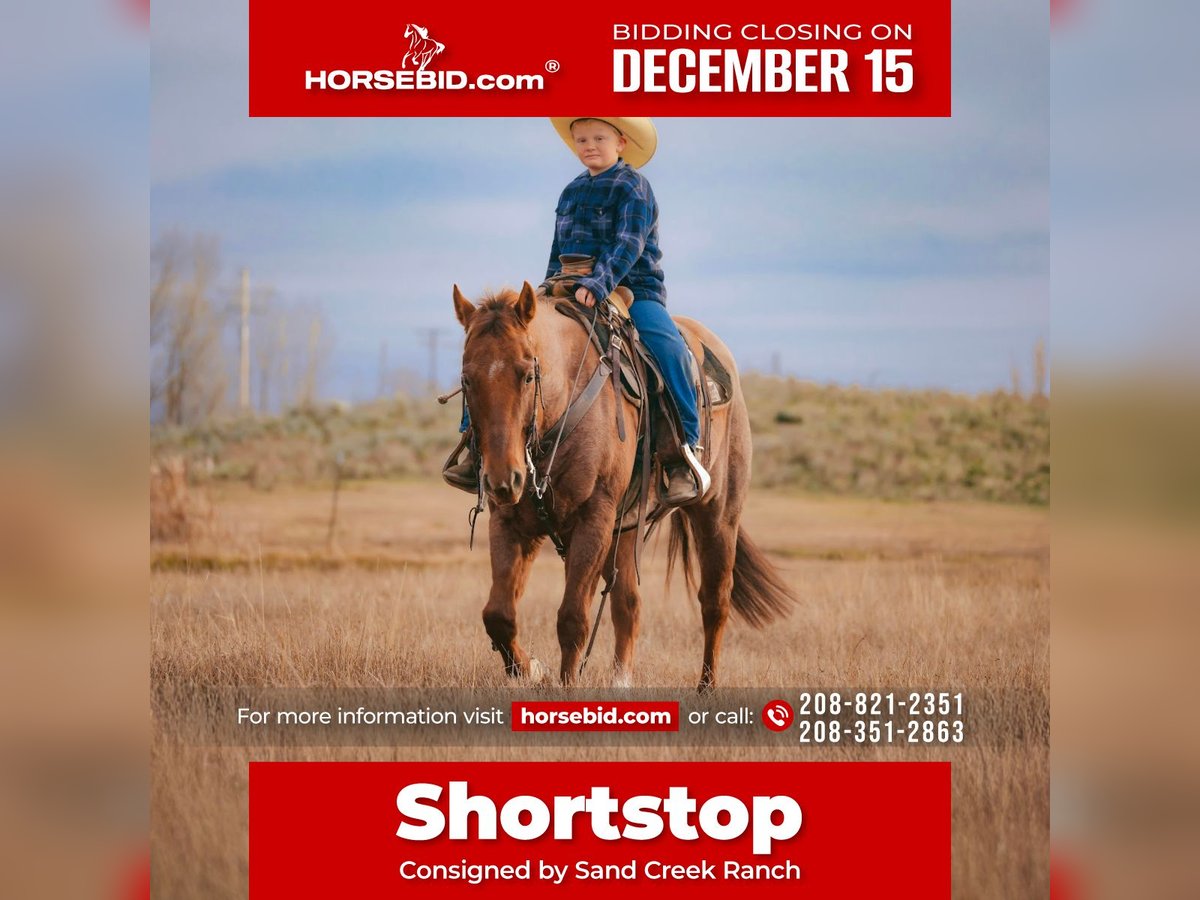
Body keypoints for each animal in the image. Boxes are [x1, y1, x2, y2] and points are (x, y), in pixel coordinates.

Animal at [452, 281, 795, 691]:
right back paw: (622, 681)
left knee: (715, 600)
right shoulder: (512, 523)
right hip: (626, 529)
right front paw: (533, 669)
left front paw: (564, 686)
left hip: (718, 515)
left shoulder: (593, 521)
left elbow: (572, 619)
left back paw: (706, 687)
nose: (504, 478)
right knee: (628, 602)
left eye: (527, 375)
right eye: (467, 380)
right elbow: (499, 615)